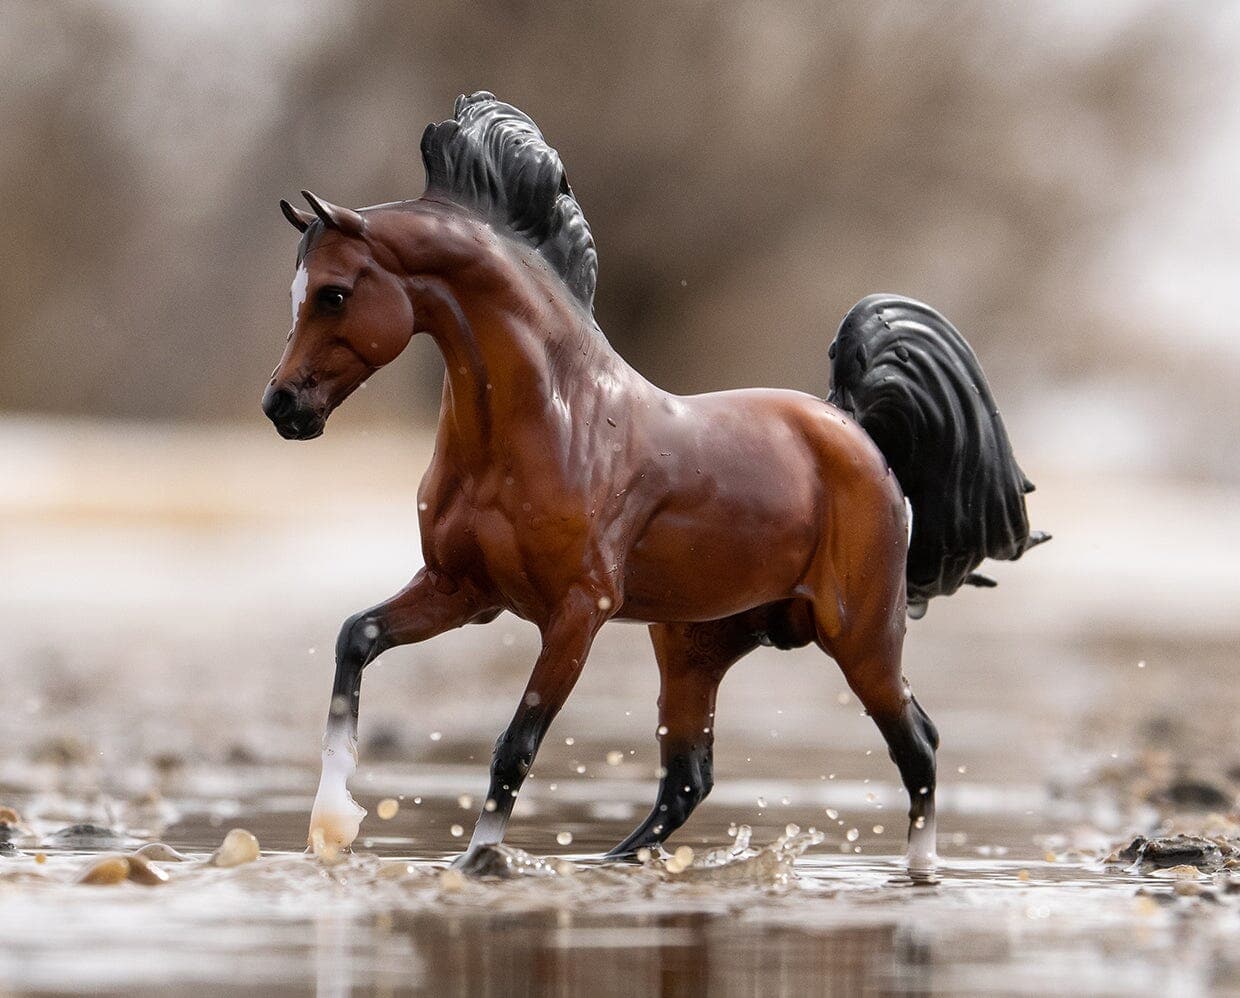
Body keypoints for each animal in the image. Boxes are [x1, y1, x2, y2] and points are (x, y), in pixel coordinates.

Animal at [261, 91, 1046, 872]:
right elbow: (355, 639)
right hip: (692, 644)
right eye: (296, 291)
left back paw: (920, 869)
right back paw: (615, 861)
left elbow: (515, 747)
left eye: (333, 295)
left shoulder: (576, 611)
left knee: (918, 747)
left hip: (861, 638)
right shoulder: (462, 591)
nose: (282, 406)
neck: (553, 419)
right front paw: (330, 823)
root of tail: (854, 427)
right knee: (688, 777)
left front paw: (476, 860)